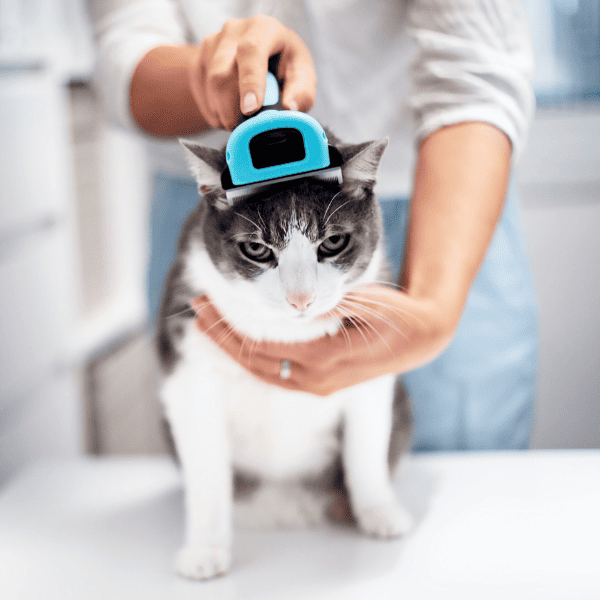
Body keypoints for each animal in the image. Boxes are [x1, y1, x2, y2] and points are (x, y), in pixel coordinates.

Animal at [156, 131, 412, 580]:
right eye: (256, 248)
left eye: (333, 242)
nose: (301, 299)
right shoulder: (189, 363)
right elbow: (205, 470)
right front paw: (205, 549)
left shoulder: (370, 361)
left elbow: (365, 447)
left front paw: (379, 511)